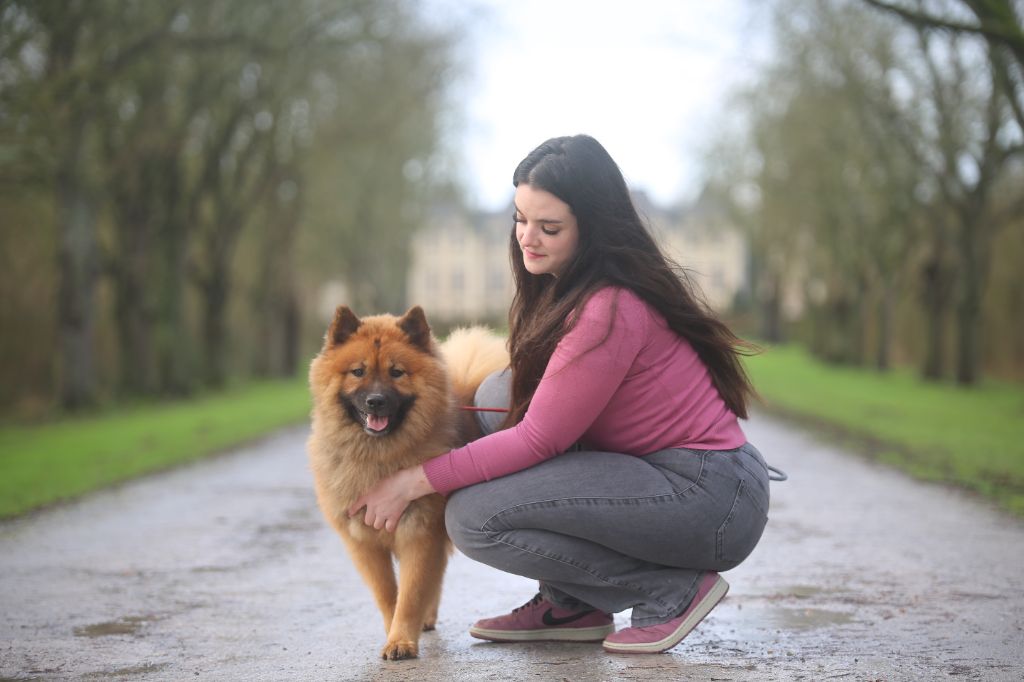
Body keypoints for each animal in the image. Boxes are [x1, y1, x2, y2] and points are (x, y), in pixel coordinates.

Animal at [307, 305, 507, 655]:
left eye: (397, 372)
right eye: (358, 372)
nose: (375, 400)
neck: (378, 457)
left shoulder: (419, 533)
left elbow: (411, 593)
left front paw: (401, 640)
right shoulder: (364, 542)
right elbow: (388, 594)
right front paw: (394, 633)